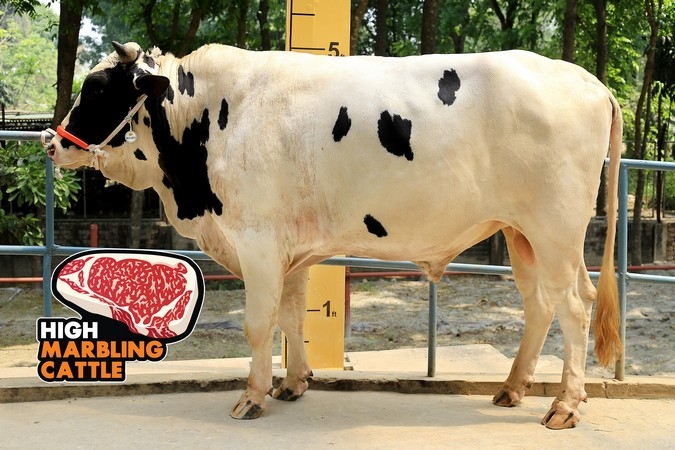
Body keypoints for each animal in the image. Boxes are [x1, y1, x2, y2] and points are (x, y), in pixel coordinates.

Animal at [47, 41, 623, 429]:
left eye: (97, 89)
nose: (52, 143)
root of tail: (589, 82)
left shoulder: (257, 239)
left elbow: (259, 324)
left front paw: (252, 396)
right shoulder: (290, 248)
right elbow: (290, 315)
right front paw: (293, 383)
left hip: (554, 231)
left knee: (573, 308)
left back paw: (564, 405)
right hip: (522, 235)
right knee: (540, 304)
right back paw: (512, 388)